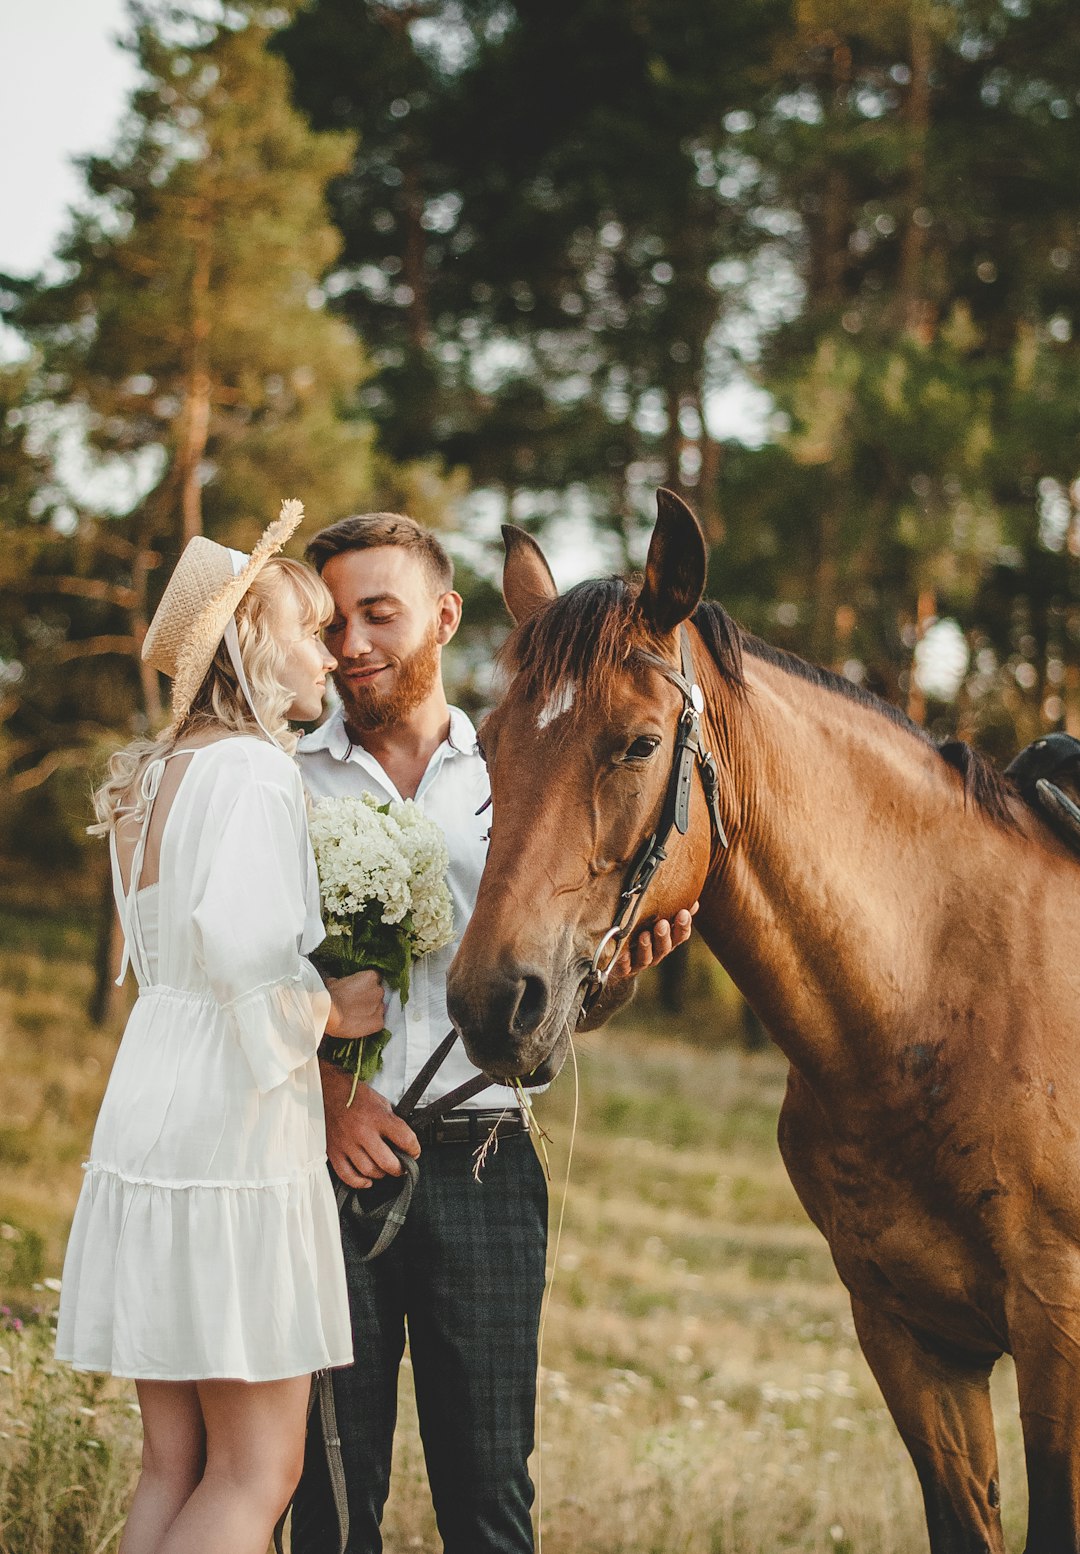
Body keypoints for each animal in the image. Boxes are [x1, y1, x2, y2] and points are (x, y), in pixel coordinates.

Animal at [447, 491, 1080, 1554]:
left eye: (638, 744)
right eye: (489, 744)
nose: (493, 1003)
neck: (942, 1003)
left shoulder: (1057, 1335)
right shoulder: (912, 1344)